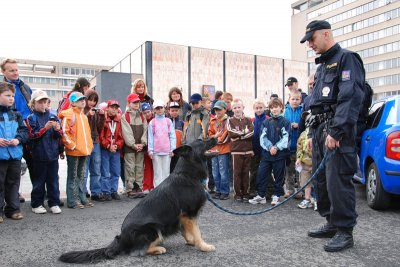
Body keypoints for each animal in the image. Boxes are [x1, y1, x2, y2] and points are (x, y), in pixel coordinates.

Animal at [57, 139, 217, 264]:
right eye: (202, 141)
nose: (216, 137)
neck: (188, 174)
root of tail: (121, 238)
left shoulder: (183, 217)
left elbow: (187, 231)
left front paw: (191, 241)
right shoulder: (189, 214)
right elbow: (197, 232)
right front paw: (203, 246)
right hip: (153, 229)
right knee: (138, 251)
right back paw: (159, 249)